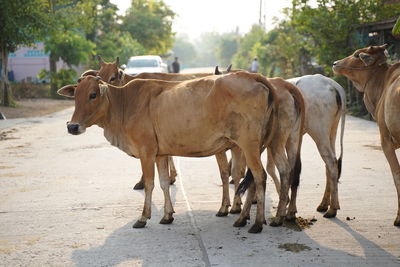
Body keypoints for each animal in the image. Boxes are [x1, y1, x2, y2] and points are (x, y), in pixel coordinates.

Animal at [59, 72, 284, 233]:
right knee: (251, 178)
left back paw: (256, 223)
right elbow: (164, 183)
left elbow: (149, 184)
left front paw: (143, 217)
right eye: (75, 96)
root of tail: (252, 75)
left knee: (260, 176)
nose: (72, 126)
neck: (125, 104)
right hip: (249, 146)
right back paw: (243, 218)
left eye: (93, 94)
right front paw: (167, 216)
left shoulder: (146, 152)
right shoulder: (160, 154)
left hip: (249, 145)